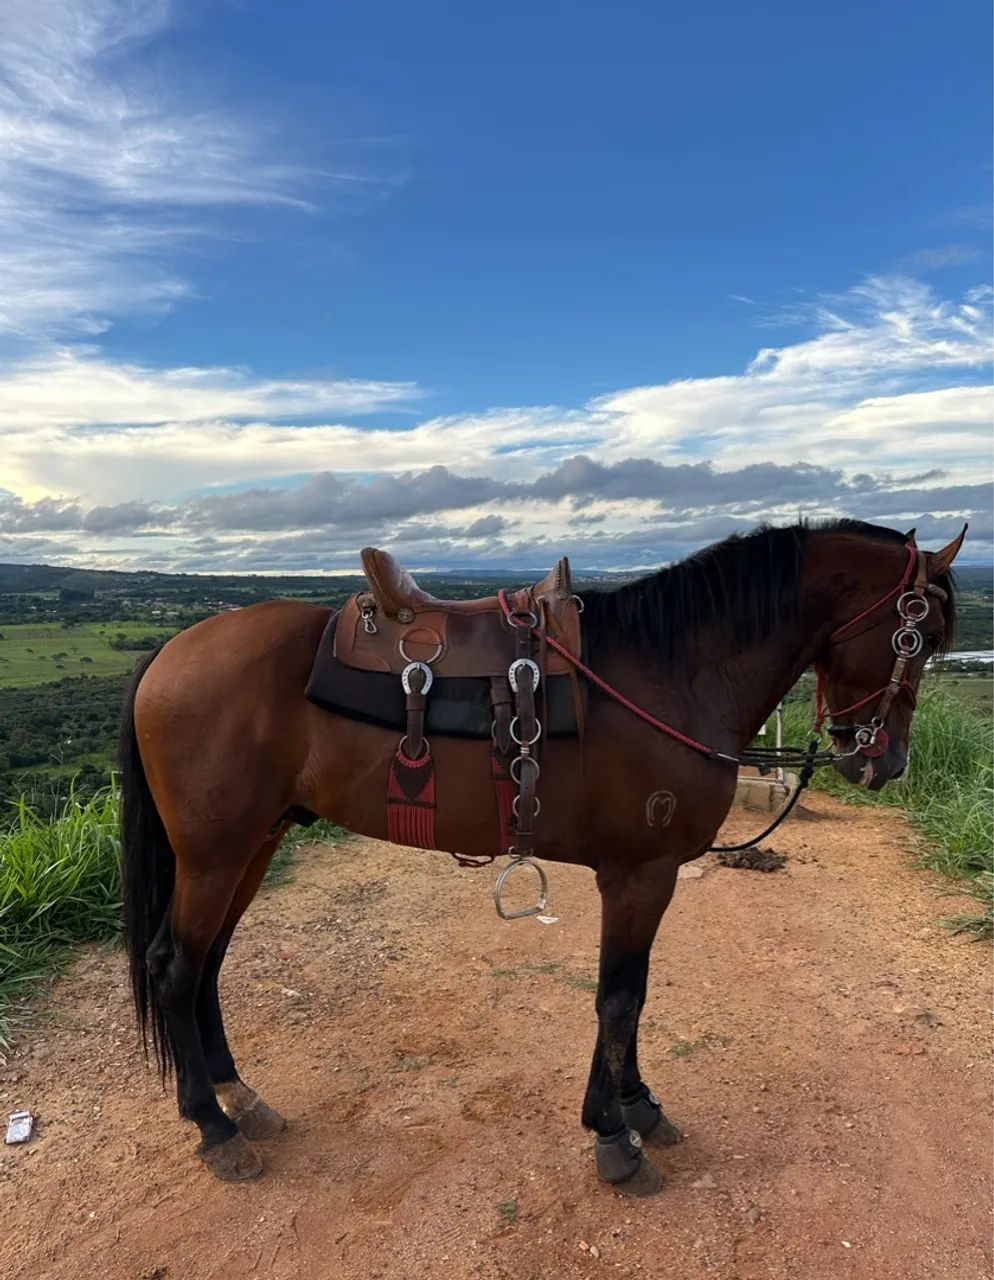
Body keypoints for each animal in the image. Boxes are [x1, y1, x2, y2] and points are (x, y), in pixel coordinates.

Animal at [119, 518, 962, 1194]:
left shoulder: (647, 877)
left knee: (206, 966)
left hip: (254, 844)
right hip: (216, 854)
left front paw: (637, 1106)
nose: (885, 762)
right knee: (176, 968)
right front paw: (614, 1133)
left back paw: (238, 1096)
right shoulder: (639, 875)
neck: (671, 674)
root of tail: (170, 651)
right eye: (916, 636)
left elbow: (631, 998)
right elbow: (619, 999)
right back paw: (213, 1126)